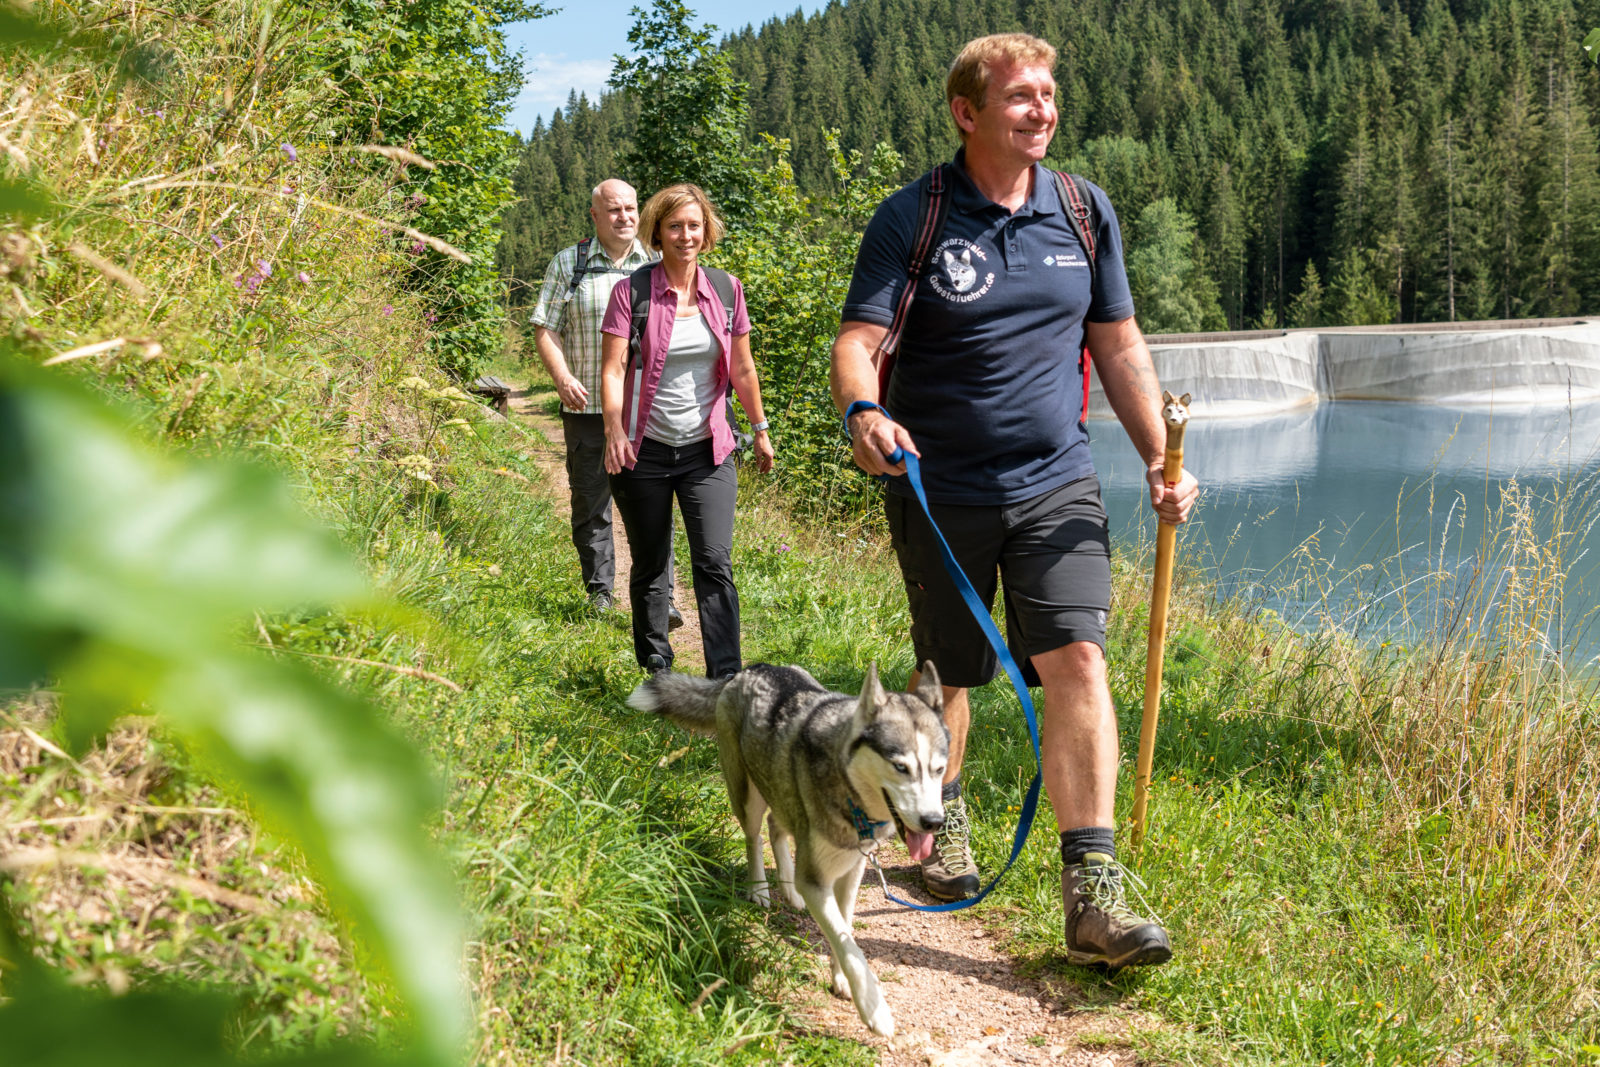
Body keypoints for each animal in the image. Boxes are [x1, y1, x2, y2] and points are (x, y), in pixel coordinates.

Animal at [627, 659, 947, 1036]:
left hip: (781, 793)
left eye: (939, 770)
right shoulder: (816, 879)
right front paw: (873, 1007)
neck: (851, 793)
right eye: (901, 767)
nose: (934, 822)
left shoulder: (853, 868)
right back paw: (760, 889)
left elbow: (846, 930)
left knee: (776, 826)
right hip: (747, 795)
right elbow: (847, 941)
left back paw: (788, 889)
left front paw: (841, 979)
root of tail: (749, 670)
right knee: (755, 836)